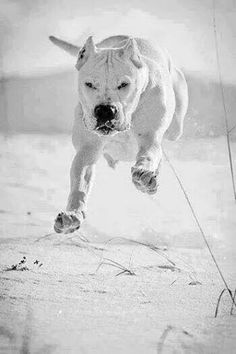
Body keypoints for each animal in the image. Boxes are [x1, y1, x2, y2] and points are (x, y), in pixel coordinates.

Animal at [49, 34, 188, 234]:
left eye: (124, 84)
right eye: (89, 84)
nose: (105, 110)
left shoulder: (150, 138)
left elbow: (149, 154)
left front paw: (143, 174)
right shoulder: (87, 149)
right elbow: (80, 182)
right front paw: (72, 215)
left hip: (176, 126)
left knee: (167, 140)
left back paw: (149, 181)